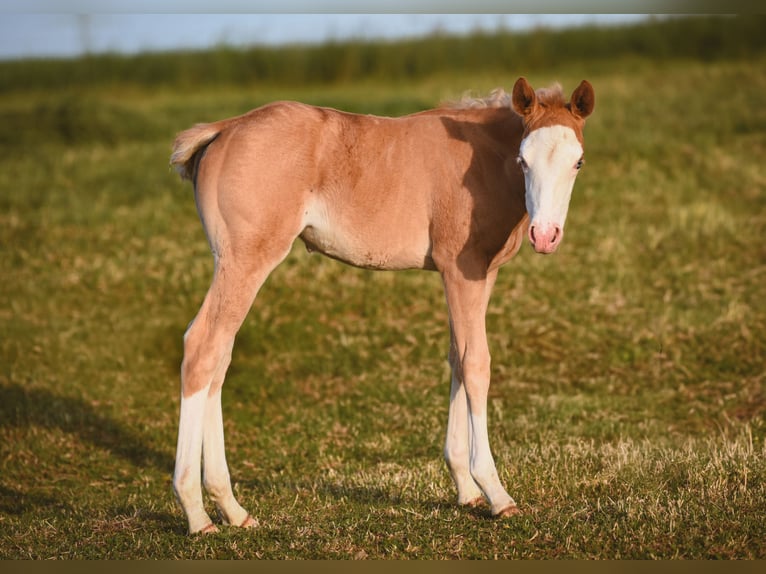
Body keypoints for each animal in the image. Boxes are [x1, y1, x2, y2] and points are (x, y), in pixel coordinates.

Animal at [169, 77, 595, 534]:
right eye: (523, 159)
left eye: (578, 163)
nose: (545, 235)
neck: (480, 160)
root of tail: (224, 130)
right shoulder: (462, 270)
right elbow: (476, 364)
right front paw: (495, 492)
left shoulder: (480, 274)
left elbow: (457, 358)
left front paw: (465, 489)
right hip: (247, 261)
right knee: (203, 347)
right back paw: (197, 513)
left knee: (220, 358)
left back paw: (231, 508)